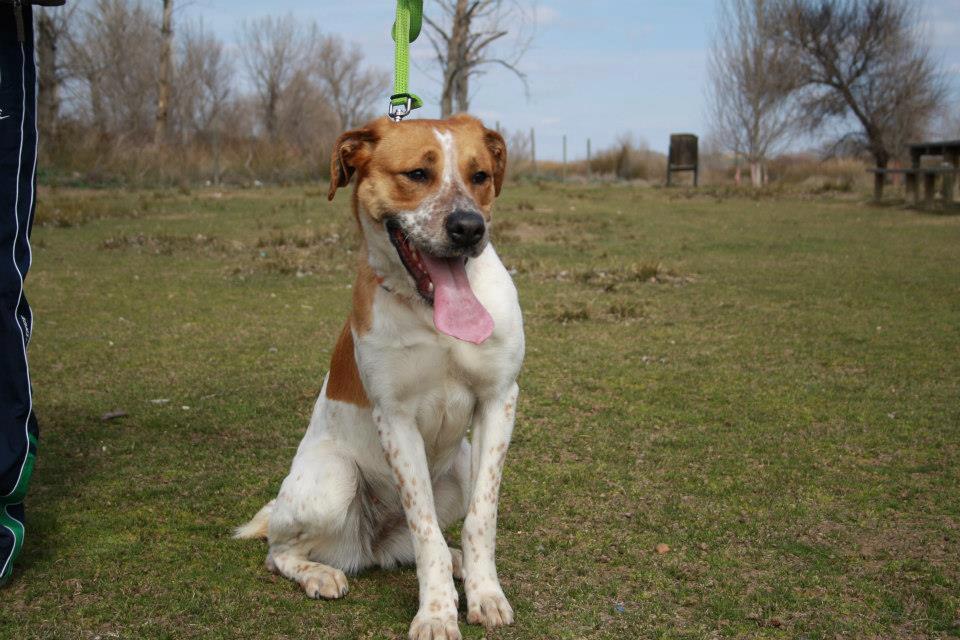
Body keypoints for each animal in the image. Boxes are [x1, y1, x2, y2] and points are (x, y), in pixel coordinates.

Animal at [237, 115, 528, 640]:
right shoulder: (395, 418)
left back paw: (455, 562)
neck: (430, 312)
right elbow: (425, 528)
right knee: (279, 552)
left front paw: (485, 594)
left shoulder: (499, 400)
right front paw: (435, 613)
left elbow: (480, 517)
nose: (469, 228)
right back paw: (320, 574)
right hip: (333, 480)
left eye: (480, 176)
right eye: (417, 174)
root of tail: (372, 542)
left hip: (458, 468)